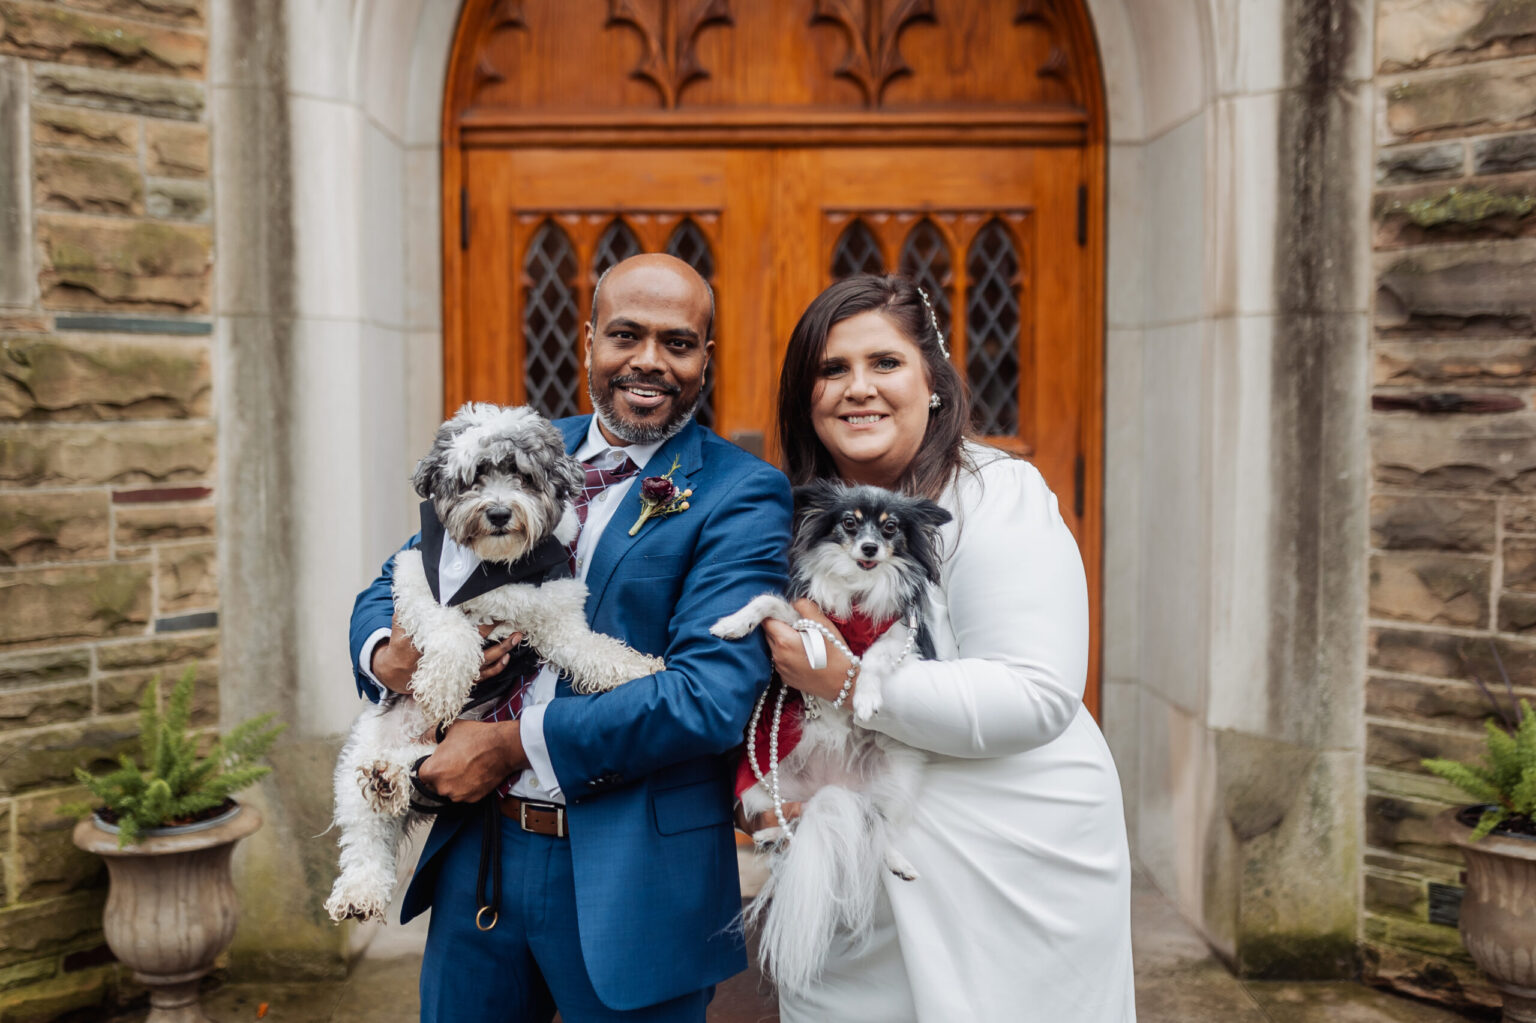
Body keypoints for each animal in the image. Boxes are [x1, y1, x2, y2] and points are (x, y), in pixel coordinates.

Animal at [327, 402, 663, 921]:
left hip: (438, 745)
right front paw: (444, 682)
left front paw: (640, 667)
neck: (496, 567)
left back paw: (393, 778)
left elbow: (594, 649)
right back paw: (361, 882)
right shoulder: (418, 577)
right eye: (475, 477)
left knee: (419, 767)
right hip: (360, 756)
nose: (500, 512)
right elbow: (451, 627)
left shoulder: (558, 609)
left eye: (523, 476)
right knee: (365, 834)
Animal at [706, 482, 946, 989]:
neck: (857, 590)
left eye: (890, 529)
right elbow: (765, 601)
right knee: (787, 825)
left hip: (899, 776)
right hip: (762, 786)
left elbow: (871, 658)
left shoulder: (897, 637)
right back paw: (768, 833)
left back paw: (898, 863)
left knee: (879, 831)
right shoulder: (804, 619)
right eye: (849, 524)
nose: (870, 548)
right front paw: (732, 623)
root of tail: (829, 792)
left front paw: (865, 697)